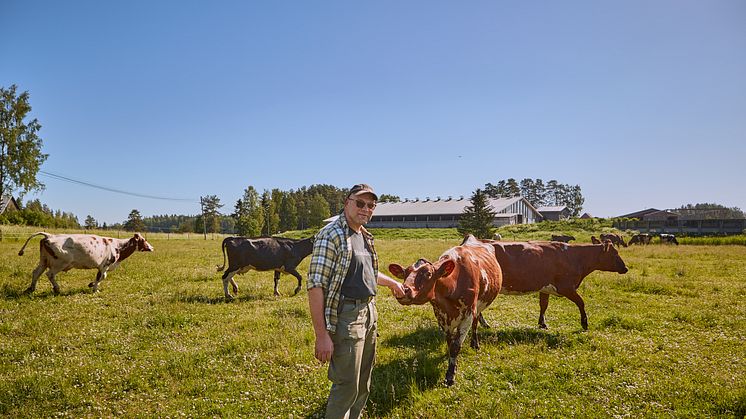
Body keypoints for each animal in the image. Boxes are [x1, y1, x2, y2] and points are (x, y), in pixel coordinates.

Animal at [16, 233, 153, 296]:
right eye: (143, 240)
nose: (151, 247)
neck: (117, 246)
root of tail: (49, 235)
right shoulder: (104, 265)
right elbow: (101, 277)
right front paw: (95, 288)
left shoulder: (102, 267)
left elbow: (101, 277)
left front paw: (91, 284)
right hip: (59, 263)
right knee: (49, 274)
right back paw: (57, 289)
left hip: (44, 261)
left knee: (36, 273)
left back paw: (31, 288)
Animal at [386, 233, 502, 388]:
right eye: (405, 273)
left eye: (428, 274)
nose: (403, 290)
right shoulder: (441, 315)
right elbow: (449, 342)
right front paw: (451, 360)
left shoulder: (468, 314)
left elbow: (456, 346)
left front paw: (450, 375)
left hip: (478, 305)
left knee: (476, 322)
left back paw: (475, 344)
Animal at [482, 240, 628, 332]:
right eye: (615, 254)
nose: (626, 268)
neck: (576, 257)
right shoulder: (566, 287)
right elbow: (581, 302)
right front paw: (584, 323)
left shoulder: (544, 288)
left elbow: (543, 305)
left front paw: (542, 324)